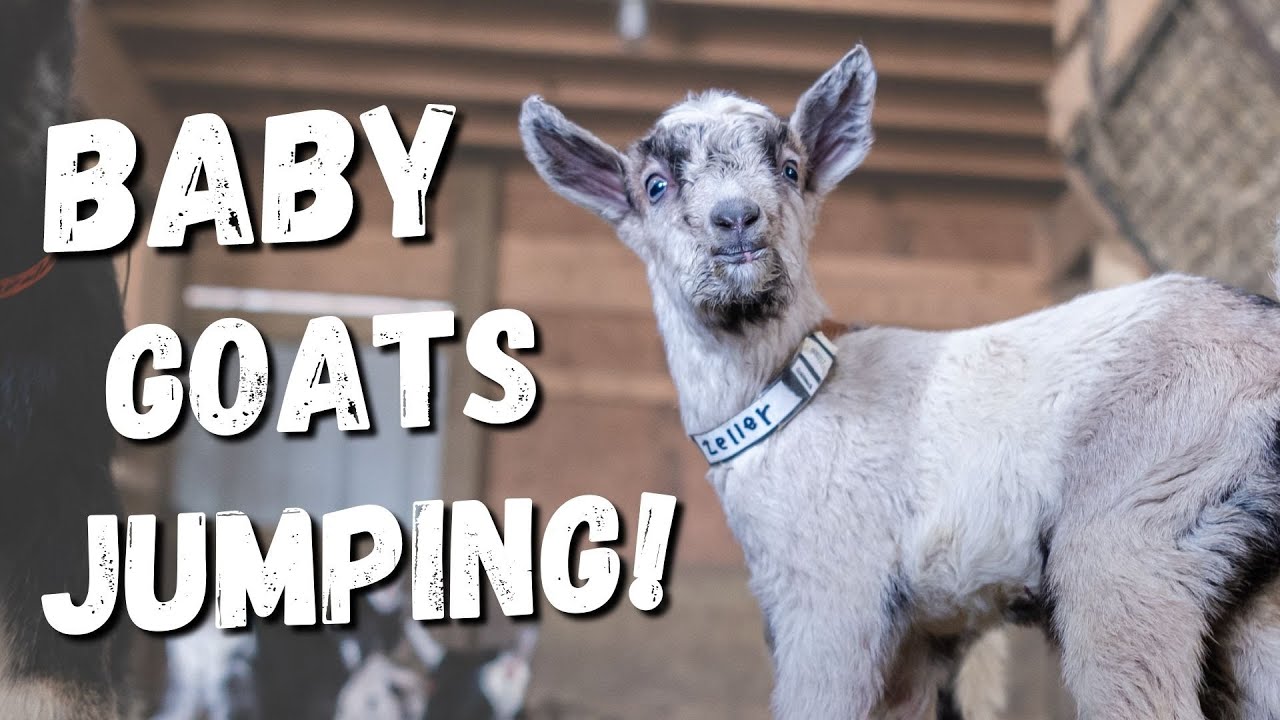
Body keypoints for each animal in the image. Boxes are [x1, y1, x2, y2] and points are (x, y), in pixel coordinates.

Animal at [520, 45, 1280, 719]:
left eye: (791, 169)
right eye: (654, 186)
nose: (737, 218)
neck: (793, 397)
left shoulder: (832, 598)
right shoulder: (917, 638)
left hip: (1138, 524)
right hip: (1243, 583)